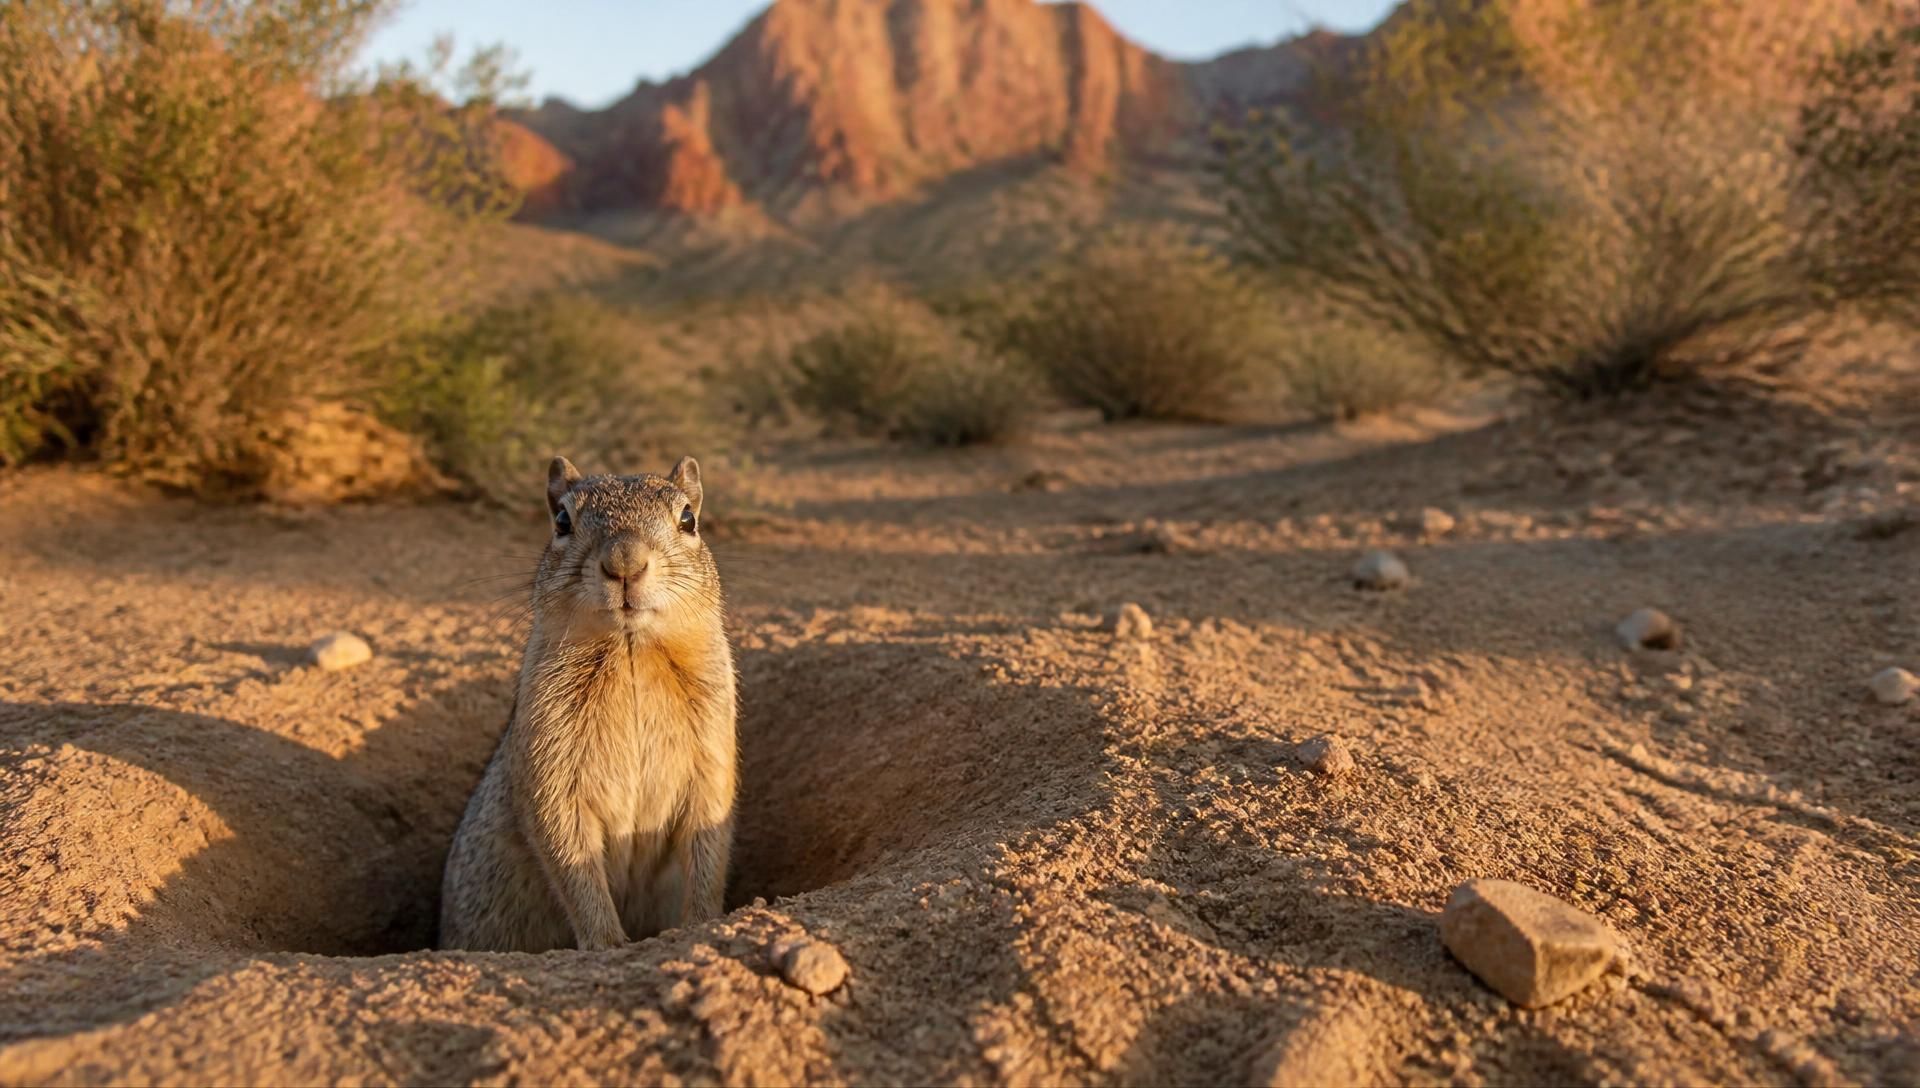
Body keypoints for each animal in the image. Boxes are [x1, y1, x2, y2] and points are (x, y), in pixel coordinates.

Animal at [439, 455, 737, 952]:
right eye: (562, 520)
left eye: (688, 519)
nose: (624, 563)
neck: (632, 651)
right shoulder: (551, 766)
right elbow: (569, 855)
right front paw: (607, 942)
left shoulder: (712, 757)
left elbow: (708, 847)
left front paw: (698, 924)